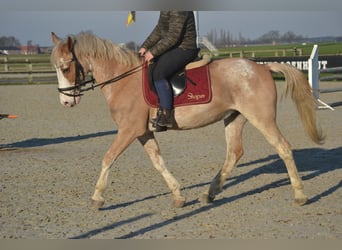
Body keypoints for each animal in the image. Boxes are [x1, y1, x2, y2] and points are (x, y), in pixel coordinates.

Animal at [49, 32, 324, 208]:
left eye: (66, 67)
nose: (65, 102)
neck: (123, 79)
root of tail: (262, 68)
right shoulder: (143, 132)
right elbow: (158, 162)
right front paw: (178, 196)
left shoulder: (129, 130)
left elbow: (108, 158)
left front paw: (97, 198)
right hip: (235, 119)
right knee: (234, 153)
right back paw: (209, 193)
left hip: (262, 118)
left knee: (283, 148)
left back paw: (300, 195)